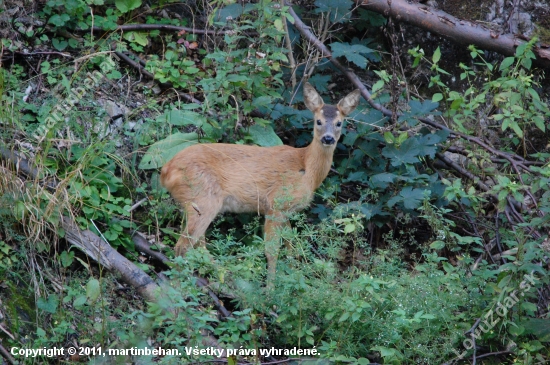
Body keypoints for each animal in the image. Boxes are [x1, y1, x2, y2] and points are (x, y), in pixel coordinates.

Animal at [161, 82, 362, 280]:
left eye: (339, 123)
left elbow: (290, 245)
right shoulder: (276, 204)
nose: (328, 138)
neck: (307, 170)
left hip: (195, 203)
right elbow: (272, 251)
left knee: (198, 245)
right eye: (318, 121)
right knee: (183, 246)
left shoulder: (287, 210)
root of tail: (166, 171)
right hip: (203, 198)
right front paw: (271, 286)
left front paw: (294, 275)